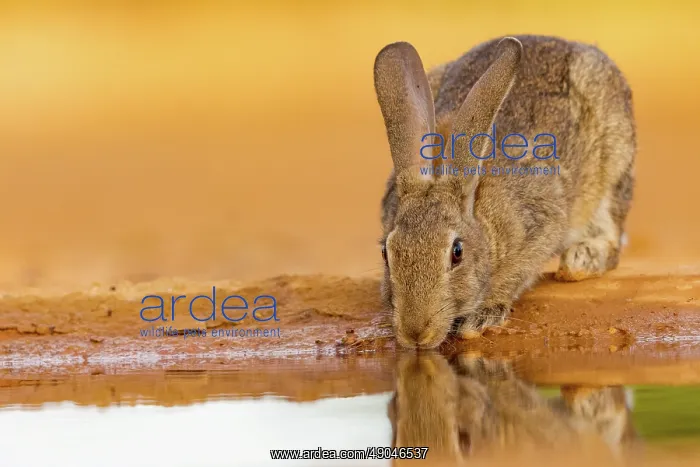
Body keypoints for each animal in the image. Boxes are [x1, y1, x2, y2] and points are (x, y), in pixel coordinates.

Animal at [374, 35, 636, 349]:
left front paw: (480, 318)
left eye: (457, 252)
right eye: (386, 252)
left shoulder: (541, 224)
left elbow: (516, 273)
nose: (415, 335)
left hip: (614, 163)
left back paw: (578, 261)